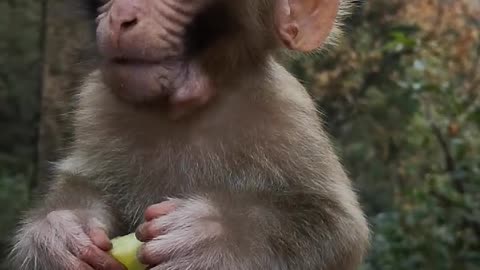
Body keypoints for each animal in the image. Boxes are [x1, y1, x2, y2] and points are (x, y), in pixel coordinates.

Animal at [10, 0, 372, 268]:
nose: (121, 17)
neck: (180, 113)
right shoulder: (97, 103)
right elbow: (84, 183)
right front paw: (59, 231)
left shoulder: (287, 111)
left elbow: (339, 229)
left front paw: (217, 233)